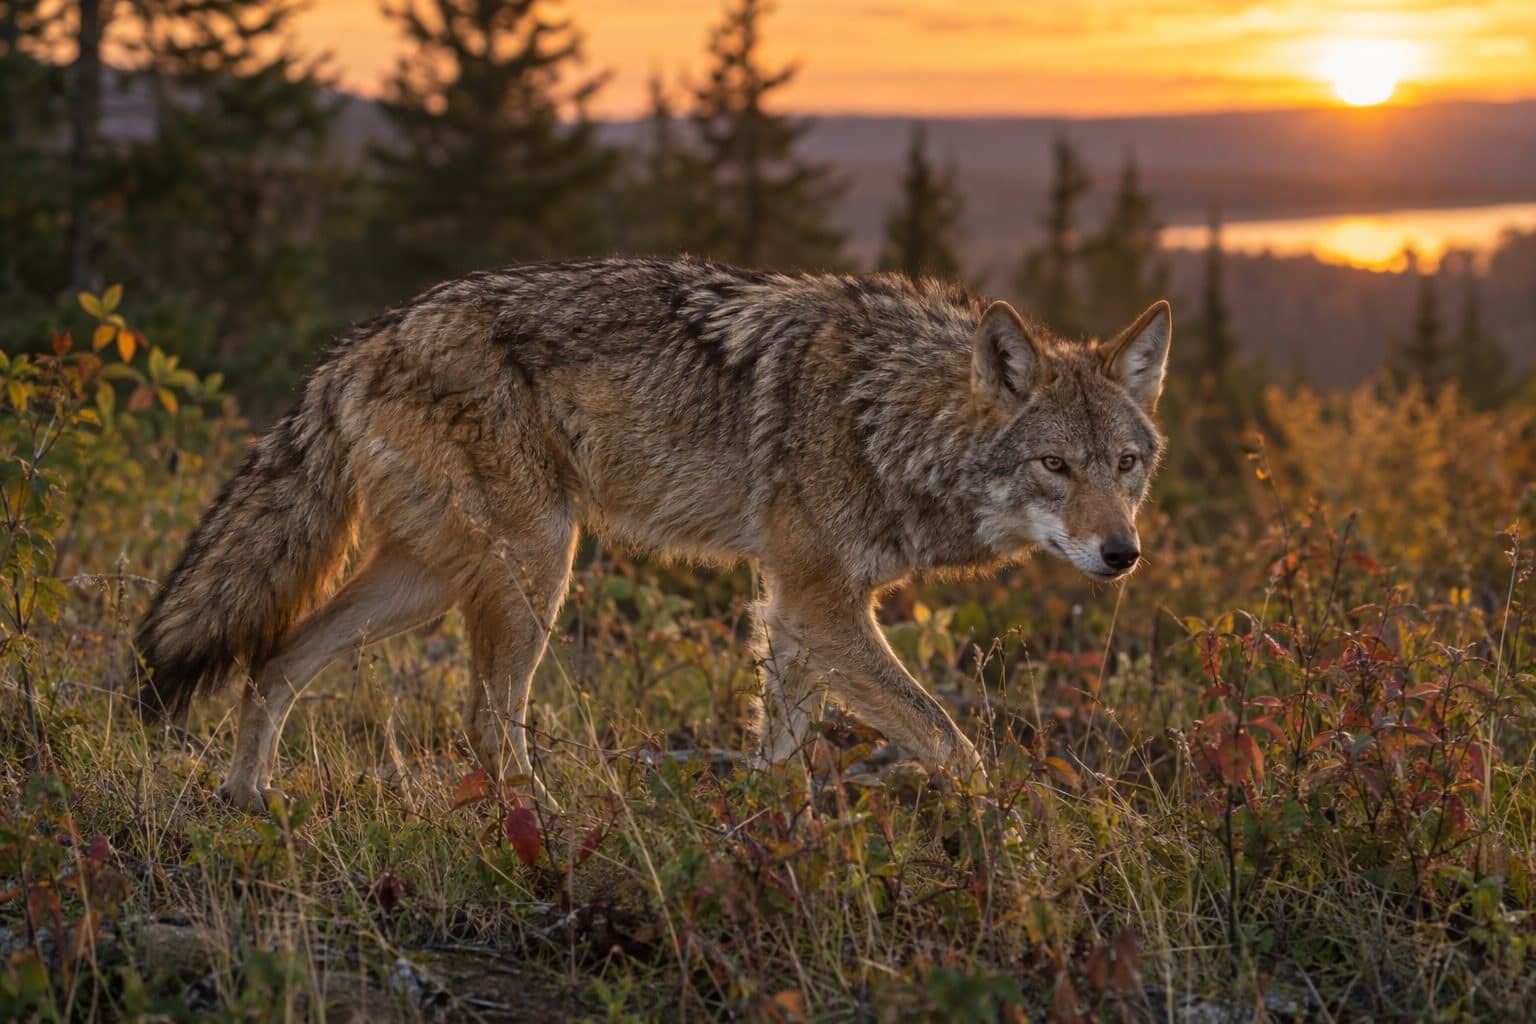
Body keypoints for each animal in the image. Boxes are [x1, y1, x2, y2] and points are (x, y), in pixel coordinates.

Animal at [135, 257, 1171, 811]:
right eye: (1055, 466)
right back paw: (546, 828)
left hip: (428, 578)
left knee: (275, 658)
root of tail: (362, 341)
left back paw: (248, 797)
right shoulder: (823, 606)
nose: (1122, 554)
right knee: (486, 720)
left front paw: (771, 835)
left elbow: (781, 750)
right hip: (536, 567)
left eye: (1125, 465)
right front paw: (1007, 830)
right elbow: (955, 743)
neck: (886, 415)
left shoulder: (794, 609)